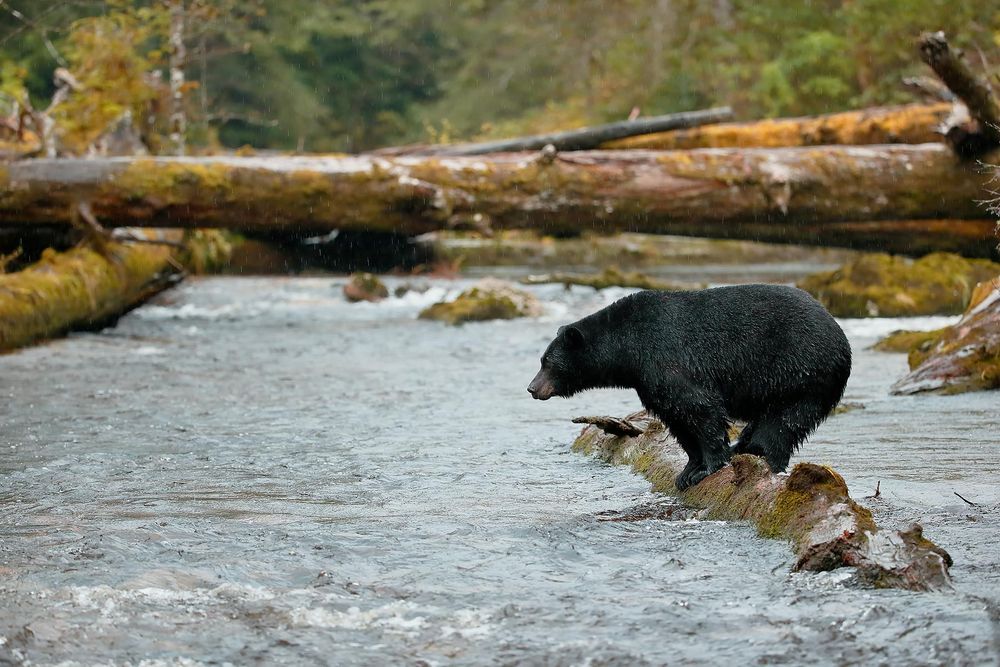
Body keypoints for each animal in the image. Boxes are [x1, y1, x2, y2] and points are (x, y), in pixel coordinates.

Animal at [527, 284, 851, 490]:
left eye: (547, 362)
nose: (532, 388)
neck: (628, 346)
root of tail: (840, 336)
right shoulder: (649, 380)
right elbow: (675, 417)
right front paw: (688, 469)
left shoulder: (669, 358)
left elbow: (698, 407)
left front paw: (707, 467)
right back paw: (743, 447)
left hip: (801, 372)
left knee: (783, 422)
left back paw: (760, 454)